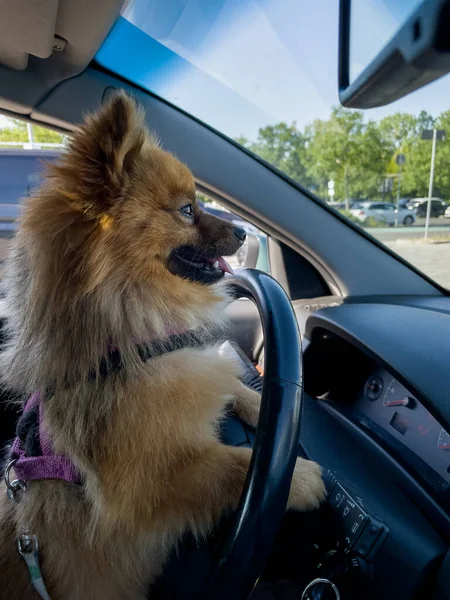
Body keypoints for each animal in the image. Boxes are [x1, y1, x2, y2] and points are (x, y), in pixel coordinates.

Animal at [0, 91, 324, 596]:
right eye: (187, 210)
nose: (244, 232)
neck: (130, 336)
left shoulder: (194, 367)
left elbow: (232, 384)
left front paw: (263, 403)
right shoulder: (144, 485)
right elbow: (229, 462)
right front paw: (301, 478)